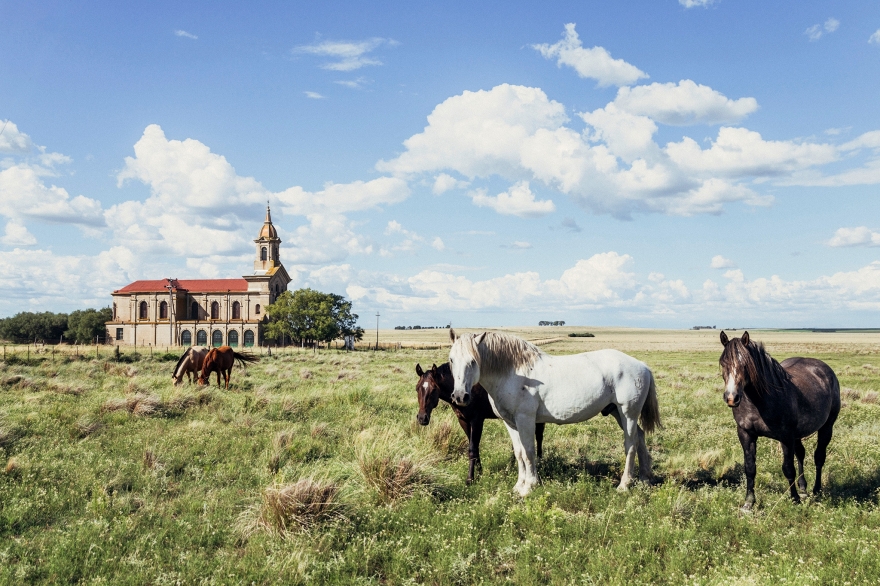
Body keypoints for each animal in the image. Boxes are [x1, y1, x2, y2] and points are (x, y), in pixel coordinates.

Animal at [412, 362, 544, 482]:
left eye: (434, 389)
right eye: (417, 388)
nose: (422, 418)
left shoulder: (477, 421)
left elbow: (472, 449)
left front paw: (470, 479)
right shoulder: (463, 421)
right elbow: (475, 448)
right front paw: (480, 472)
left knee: (539, 436)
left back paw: (539, 462)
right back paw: (511, 466)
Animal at [446, 328, 660, 492]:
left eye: (473, 361)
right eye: (451, 360)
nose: (460, 396)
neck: (514, 373)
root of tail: (642, 365)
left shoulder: (525, 419)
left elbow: (529, 451)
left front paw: (529, 486)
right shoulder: (510, 423)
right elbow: (519, 453)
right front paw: (518, 486)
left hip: (628, 413)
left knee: (630, 444)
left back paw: (624, 485)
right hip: (618, 412)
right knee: (640, 438)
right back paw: (644, 479)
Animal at [720, 330, 844, 508]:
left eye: (745, 364)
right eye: (723, 363)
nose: (731, 398)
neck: (759, 401)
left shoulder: (786, 437)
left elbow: (788, 468)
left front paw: (794, 499)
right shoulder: (746, 434)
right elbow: (750, 467)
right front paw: (749, 502)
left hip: (827, 427)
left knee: (819, 457)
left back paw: (816, 490)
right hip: (798, 435)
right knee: (801, 454)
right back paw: (803, 488)